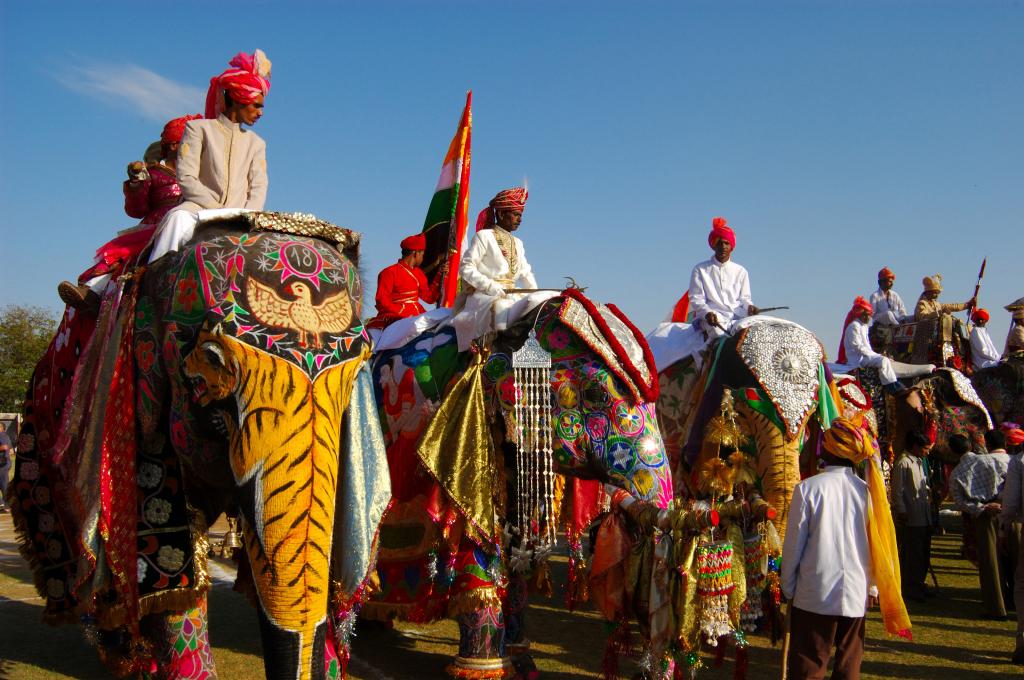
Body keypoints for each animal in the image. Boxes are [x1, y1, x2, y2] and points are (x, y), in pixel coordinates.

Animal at [362, 288, 671, 680]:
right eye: (598, 395)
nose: (640, 670)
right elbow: (480, 541)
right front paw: (485, 669)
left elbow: (520, 551)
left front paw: (523, 662)